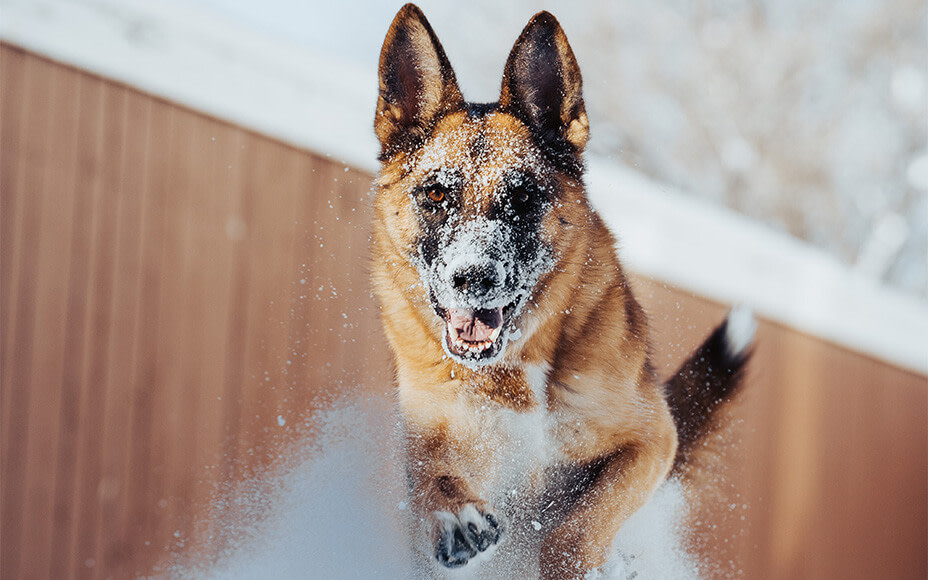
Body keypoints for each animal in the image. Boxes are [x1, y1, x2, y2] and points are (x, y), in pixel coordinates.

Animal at [372, 5, 752, 580]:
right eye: (436, 194)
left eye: (524, 198)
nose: (473, 278)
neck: (516, 367)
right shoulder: (433, 432)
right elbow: (431, 473)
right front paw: (455, 514)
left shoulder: (651, 440)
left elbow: (582, 523)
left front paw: (573, 561)